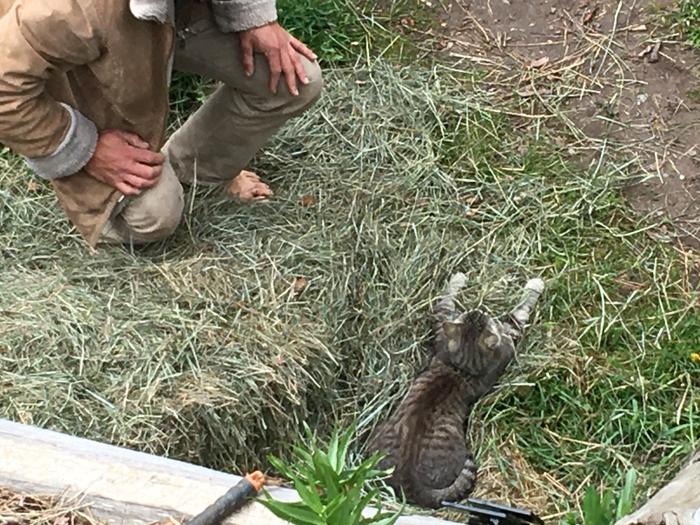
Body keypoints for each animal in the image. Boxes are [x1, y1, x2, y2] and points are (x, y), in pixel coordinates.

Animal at [370, 274, 544, 508]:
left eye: (478, 315)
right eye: (487, 318)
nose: (478, 310)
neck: (461, 368)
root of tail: (410, 484)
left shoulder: (440, 327)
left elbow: (444, 300)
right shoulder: (510, 333)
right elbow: (520, 307)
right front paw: (535, 284)